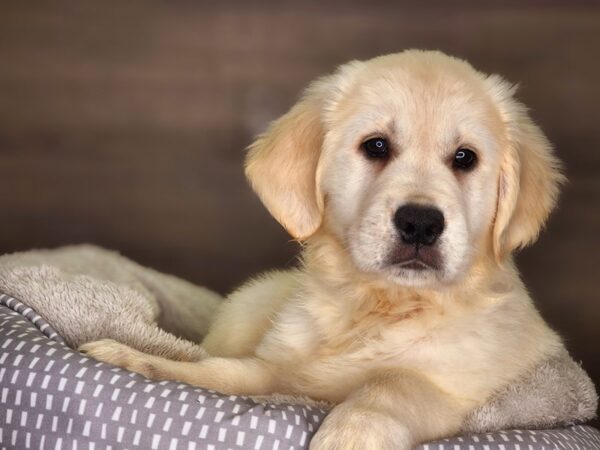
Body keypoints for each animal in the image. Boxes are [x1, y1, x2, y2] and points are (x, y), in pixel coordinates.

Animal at [81, 51, 568, 448]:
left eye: (465, 158)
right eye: (375, 146)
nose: (421, 223)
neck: (377, 306)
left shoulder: (458, 384)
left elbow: (393, 383)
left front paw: (352, 434)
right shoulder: (275, 370)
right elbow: (218, 373)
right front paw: (135, 360)